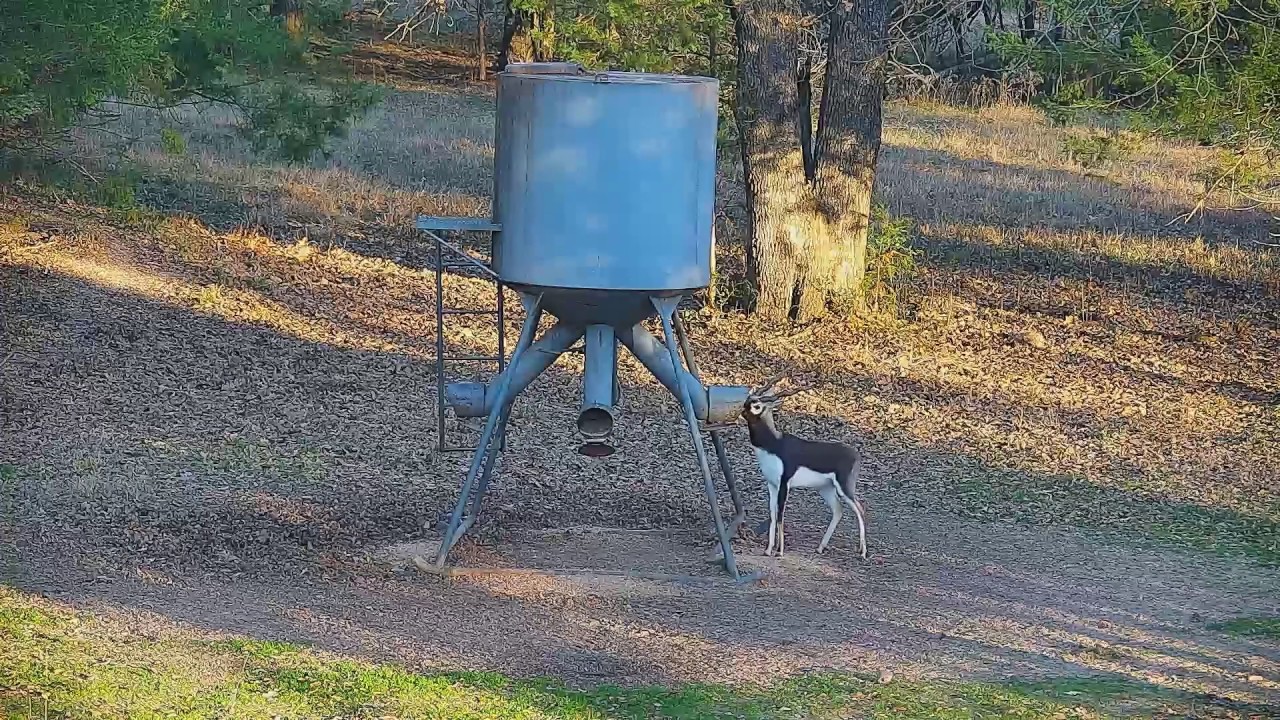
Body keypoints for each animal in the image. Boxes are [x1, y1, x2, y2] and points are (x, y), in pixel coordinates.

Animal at [742, 374, 868, 559]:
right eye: (747, 399)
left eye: (756, 405)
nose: (742, 411)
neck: (773, 444)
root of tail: (856, 454)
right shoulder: (771, 484)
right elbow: (772, 514)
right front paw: (768, 549)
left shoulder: (784, 483)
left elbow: (780, 514)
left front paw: (779, 551)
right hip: (825, 488)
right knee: (838, 510)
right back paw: (820, 548)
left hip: (845, 487)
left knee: (860, 510)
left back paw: (863, 552)